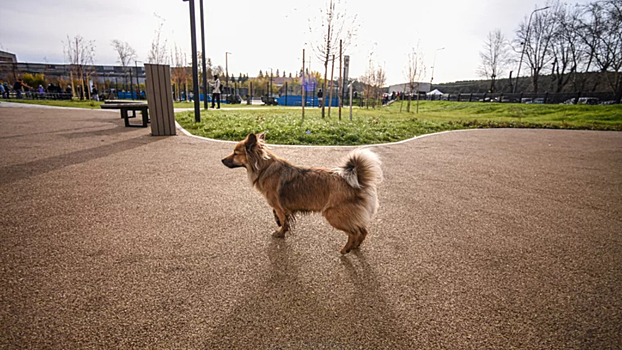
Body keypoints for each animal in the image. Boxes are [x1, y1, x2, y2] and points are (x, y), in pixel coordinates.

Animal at [222, 133, 382, 253]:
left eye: (235, 153)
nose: (222, 160)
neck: (264, 168)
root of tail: (359, 182)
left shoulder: (279, 207)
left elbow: (283, 221)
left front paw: (280, 233)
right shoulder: (280, 208)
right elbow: (281, 218)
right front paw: (280, 226)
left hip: (334, 215)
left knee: (354, 232)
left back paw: (346, 249)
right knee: (362, 231)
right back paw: (355, 246)